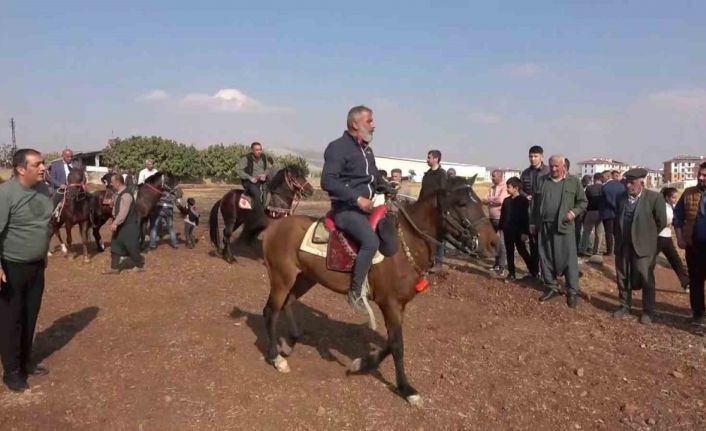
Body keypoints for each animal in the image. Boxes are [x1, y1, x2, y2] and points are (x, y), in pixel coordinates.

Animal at [258, 175, 496, 404]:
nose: (493, 243)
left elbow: (391, 341)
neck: (405, 245)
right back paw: (276, 357)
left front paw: (361, 364)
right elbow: (398, 345)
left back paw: (288, 343)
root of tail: (274, 227)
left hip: (306, 277)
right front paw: (407, 389)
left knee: (288, 302)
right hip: (281, 278)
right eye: (462, 203)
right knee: (271, 311)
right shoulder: (389, 303)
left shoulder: (399, 305)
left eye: (479, 202)